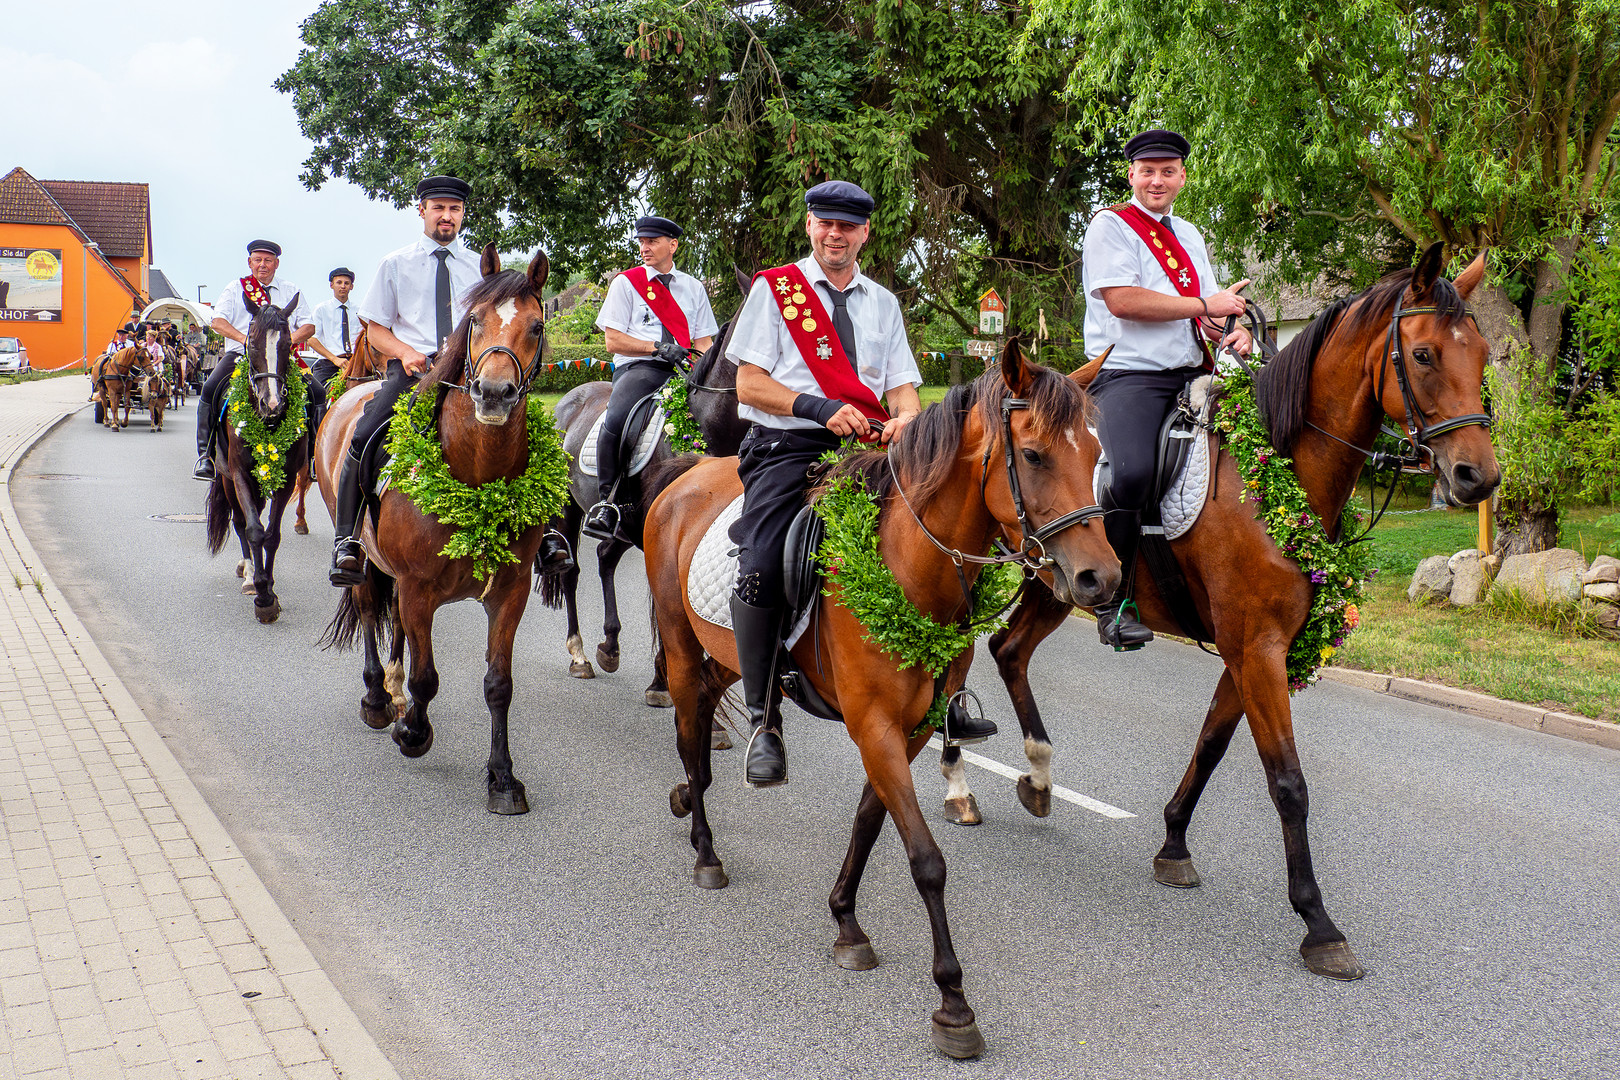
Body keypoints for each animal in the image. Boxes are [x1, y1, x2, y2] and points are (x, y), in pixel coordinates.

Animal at [204, 291, 311, 625]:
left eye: (287, 344)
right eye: (251, 342)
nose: (272, 404)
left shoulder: (287, 479)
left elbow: (271, 534)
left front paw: (271, 592)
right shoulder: (238, 474)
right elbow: (252, 529)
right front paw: (262, 593)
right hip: (227, 479)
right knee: (240, 523)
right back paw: (249, 573)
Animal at [315, 247, 557, 819]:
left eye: (536, 326)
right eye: (474, 321)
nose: (493, 393)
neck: (476, 478)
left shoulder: (509, 593)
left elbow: (498, 684)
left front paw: (502, 778)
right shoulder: (418, 587)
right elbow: (428, 675)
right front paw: (413, 734)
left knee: (397, 627)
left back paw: (396, 694)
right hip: (367, 561)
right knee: (367, 609)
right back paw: (379, 700)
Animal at [638, 341, 1121, 1062]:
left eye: (1095, 456)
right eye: (1034, 455)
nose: (1101, 578)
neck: (905, 563)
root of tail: (687, 476)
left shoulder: (910, 730)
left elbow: (870, 821)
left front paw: (846, 921)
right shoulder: (874, 727)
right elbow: (926, 859)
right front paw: (953, 1002)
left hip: (721, 654)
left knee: (706, 719)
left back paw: (690, 794)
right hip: (679, 639)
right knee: (692, 733)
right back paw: (705, 848)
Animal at [946, 247, 1496, 990]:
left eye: (1484, 354)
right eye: (1424, 353)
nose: (1477, 477)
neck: (1276, 474)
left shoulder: (1257, 649)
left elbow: (1210, 746)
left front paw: (1174, 843)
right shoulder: (1255, 647)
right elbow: (1288, 783)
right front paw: (1318, 924)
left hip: (1059, 583)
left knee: (1007, 650)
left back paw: (1035, 777)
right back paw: (959, 782)